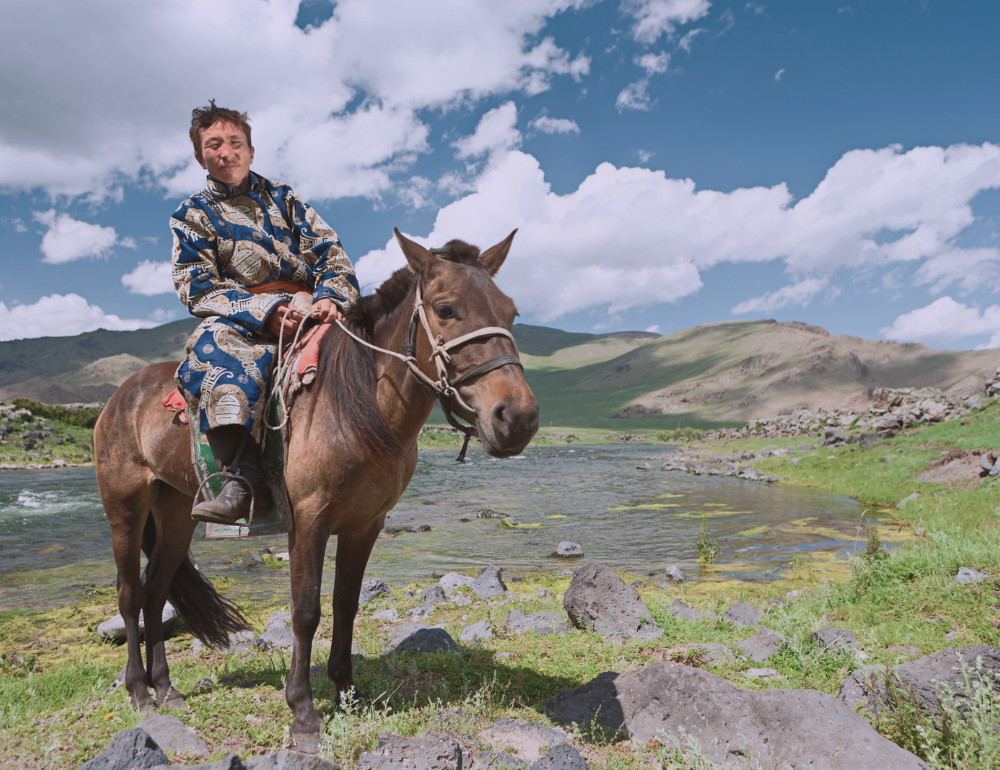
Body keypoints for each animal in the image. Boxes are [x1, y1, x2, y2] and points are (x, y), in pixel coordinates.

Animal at [94, 230, 540, 752]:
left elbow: (346, 603)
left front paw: (347, 691)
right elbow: (306, 610)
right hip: (125, 508)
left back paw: (166, 689)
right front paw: (303, 712)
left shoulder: (366, 523)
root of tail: (122, 396)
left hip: (178, 511)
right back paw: (140, 692)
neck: (357, 404)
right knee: (129, 595)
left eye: (511, 312)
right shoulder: (308, 520)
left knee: (155, 590)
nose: (517, 418)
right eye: (446, 308)